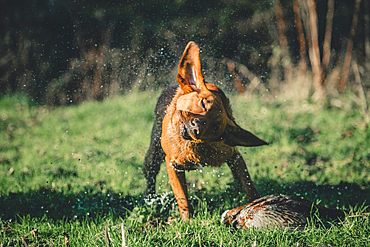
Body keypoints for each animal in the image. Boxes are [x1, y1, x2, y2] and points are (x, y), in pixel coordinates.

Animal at [143, 41, 268, 221]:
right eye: (202, 103)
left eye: (215, 126)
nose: (196, 126)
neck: (192, 148)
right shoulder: (173, 165)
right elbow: (183, 198)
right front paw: (187, 221)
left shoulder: (234, 155)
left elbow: (248, 184)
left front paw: (258, 203)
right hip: (154, 153)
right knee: (150, 174)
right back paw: (149, 198)